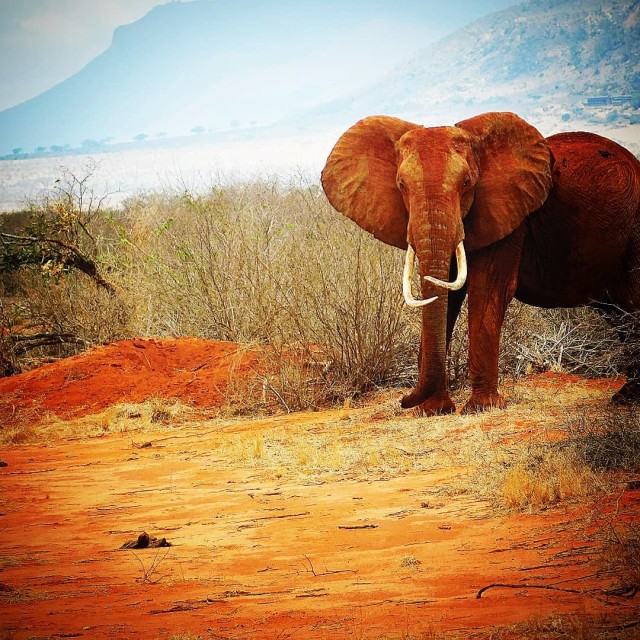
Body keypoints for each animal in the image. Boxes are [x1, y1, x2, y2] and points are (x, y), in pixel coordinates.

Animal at [322, 111, 640, 416]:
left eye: (466, 183)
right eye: (401, 185)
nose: (403, 400)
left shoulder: (508, 216)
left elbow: (487, 290)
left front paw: (482, 407)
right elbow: (445, 298)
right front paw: (432, 411)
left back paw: (625, 400)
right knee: (618, 313)